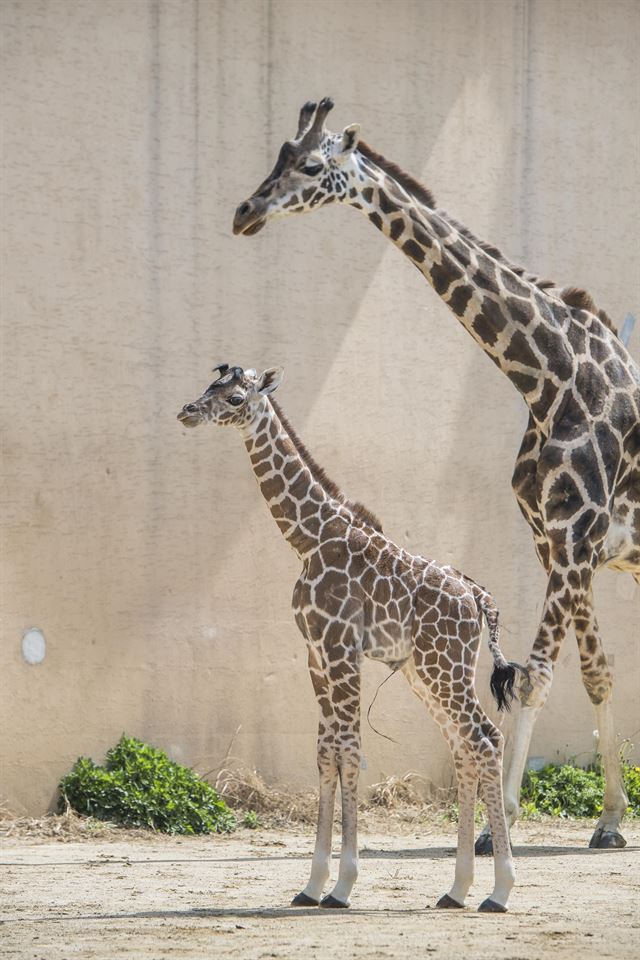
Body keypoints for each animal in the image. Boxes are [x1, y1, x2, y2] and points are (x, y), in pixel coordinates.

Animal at [178, 364, 524, 912]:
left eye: (234, 398)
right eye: (209, 386)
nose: (187, 412)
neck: (309, 537)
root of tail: (478, 598)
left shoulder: (342, 648)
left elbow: (350, 749)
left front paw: (342, 886)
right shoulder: (315, 653)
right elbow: (325, 752)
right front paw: (312, 884)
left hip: (442, 668)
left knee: (486, 739)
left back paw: (500, 891)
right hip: (426, 673)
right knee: (463, 748)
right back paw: (456, 890)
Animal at [234, 95, 640, 848]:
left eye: (311, 167)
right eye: (278, 155)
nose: (244, 212)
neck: (549, 379)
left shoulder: (578, 540)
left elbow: (532, 678)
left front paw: (497, 826)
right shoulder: (561, 544)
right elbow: (594, 672)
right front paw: (607, 820)